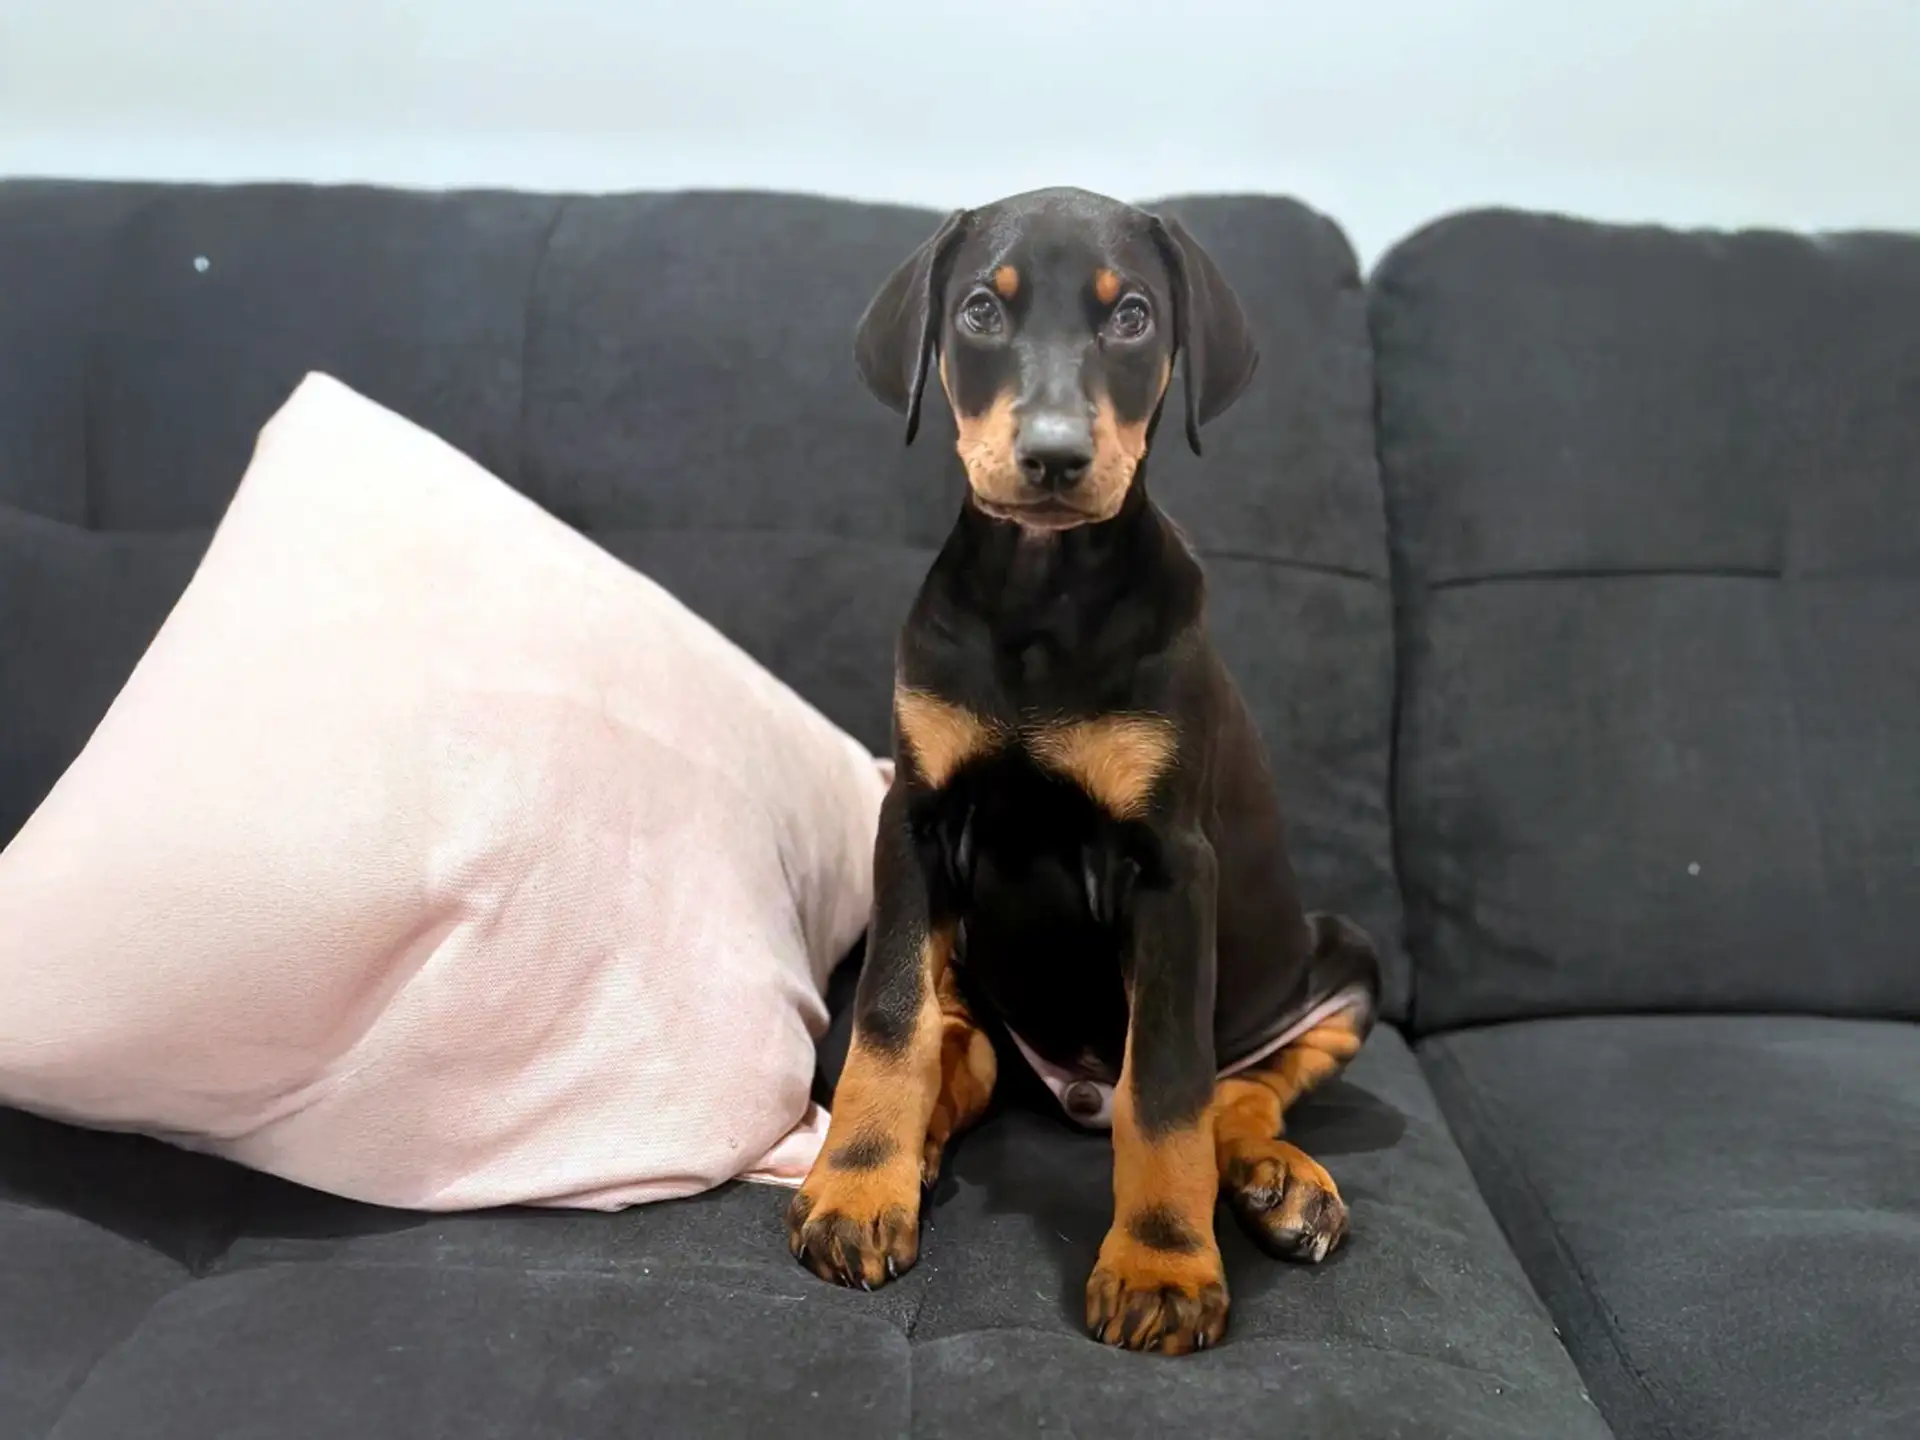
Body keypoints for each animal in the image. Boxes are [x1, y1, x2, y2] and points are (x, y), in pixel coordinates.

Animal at [783, 186, 1382, 1359]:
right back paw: (921, 1141)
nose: (1055, 457)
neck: (1040, 595)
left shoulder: (1171, 866)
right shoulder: (914, 822)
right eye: (980, 308)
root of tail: (1070, 1091)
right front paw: (859, 1189)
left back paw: (1277, 1180)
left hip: (1340, 960)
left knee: (1241, 1088)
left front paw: (1162, 1264)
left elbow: (1171, 1084)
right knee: (955, 1049)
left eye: (1133, 316)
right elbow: (889, 1022)